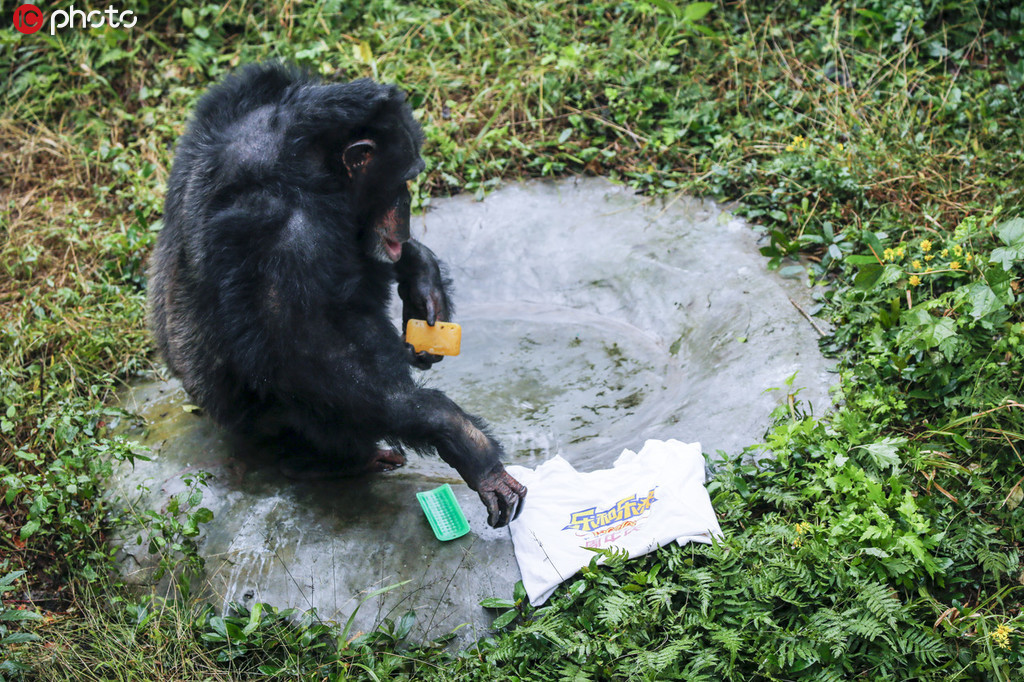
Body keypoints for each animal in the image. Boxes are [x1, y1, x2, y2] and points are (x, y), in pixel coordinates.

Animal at [149, 62, 528, 524]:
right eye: (404, 179)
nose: (406, 208)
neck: (307, 168)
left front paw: (424, 281)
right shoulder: (282, 236)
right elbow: (315, 357)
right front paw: (467, 443)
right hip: (266, 423)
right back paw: (340, 461)